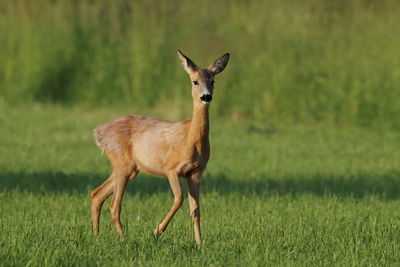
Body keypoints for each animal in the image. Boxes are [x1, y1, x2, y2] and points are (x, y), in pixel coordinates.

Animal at [89, 49, 230, 245]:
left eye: (213, 81)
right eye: (195, 81)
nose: (206, 96)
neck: (190, 140)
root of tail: (98, 132)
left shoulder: (196, 172)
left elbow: (196, 210)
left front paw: (200, 243)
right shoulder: (171, 168)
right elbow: (179, 199)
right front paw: (156, 231)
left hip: (130, 168)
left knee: (97, 194)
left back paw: (96, 235)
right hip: (122, 162)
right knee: (114, 205)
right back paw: (123, 239)